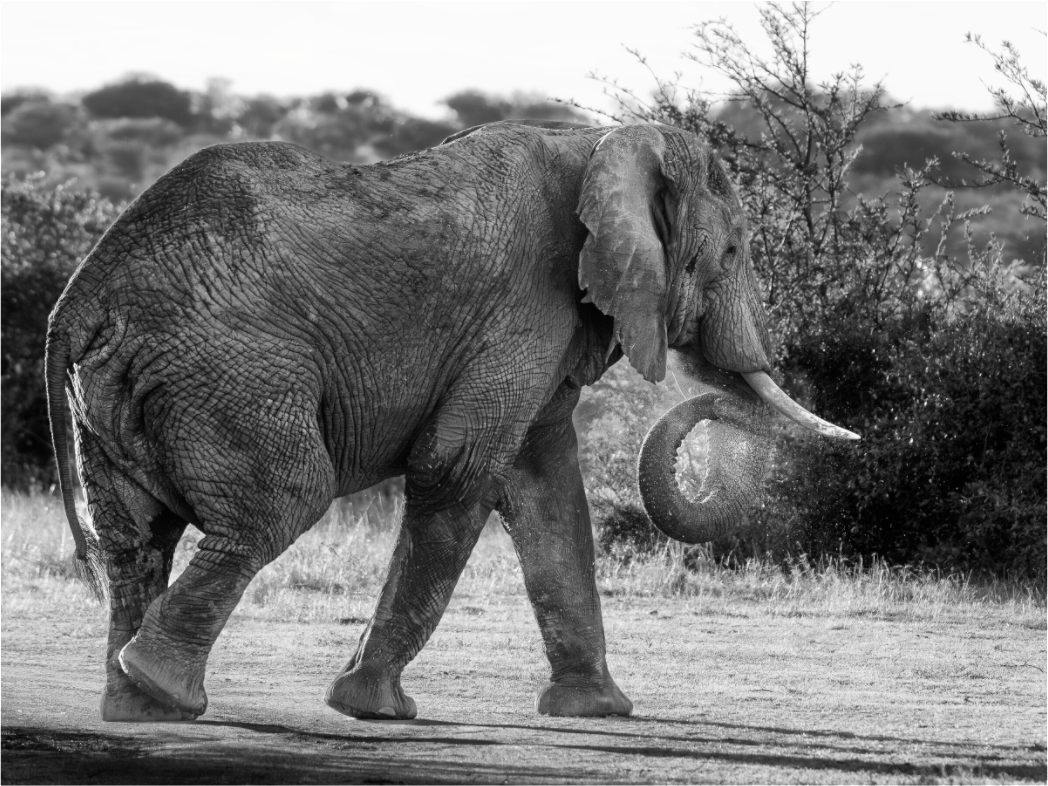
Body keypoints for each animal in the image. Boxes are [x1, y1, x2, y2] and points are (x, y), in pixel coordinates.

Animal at [46, 119, 857, 723]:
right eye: (731, 251)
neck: (602, 143)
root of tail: (81, 297)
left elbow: (547, 488)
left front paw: (598, 712)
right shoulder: (527, 302)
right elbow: (458, 468)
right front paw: (373, 710)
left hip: (124, 387)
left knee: (134, 538)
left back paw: (137, 709)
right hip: (230, 373)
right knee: (281, 503)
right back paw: (162, 688)